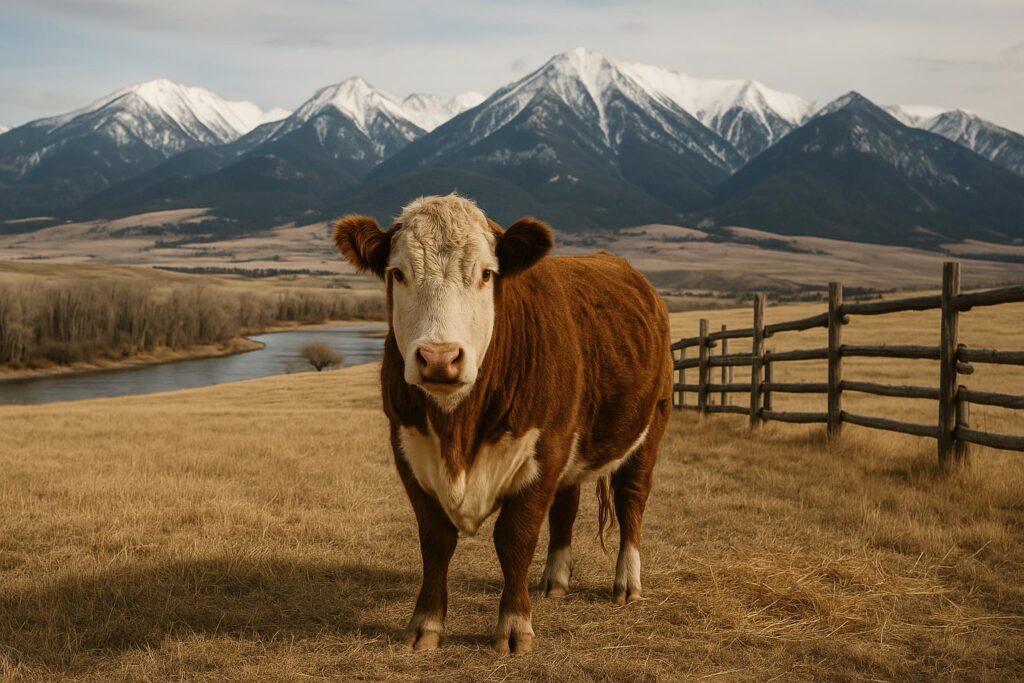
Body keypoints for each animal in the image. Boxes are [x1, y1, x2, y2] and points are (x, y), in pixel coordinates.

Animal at [333, 194, 671, 654]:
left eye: (486, 274)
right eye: (398, 273)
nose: (439, 358)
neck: (458, 431)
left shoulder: (544, 449)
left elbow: (515, 538)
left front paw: (514, 626)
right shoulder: (408, 449)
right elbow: (435, 540)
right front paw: (425, 624)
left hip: (650, 425)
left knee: (631, 499)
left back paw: (627, 583)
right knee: (566, 506)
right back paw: (554, 580)